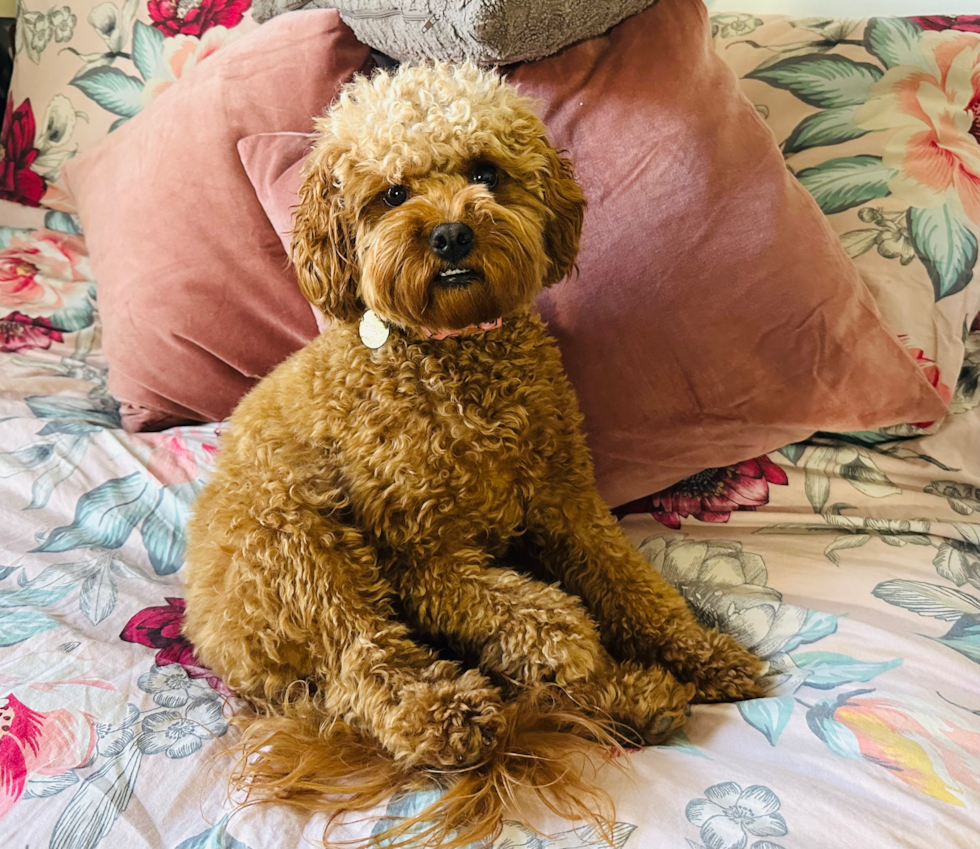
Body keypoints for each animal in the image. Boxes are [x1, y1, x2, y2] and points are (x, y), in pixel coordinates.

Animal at [184, 63, 764, 844]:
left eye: (486, 172)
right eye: (392, 194)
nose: (452, 233)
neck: (458, 359)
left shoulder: (567, 503)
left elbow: (632, 585)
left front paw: (698, 649)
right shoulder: (425, 560)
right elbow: (534, 613)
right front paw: (576, 643)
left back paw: (639, 694)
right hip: (294, 534)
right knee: (366, 660)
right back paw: (453, 715)